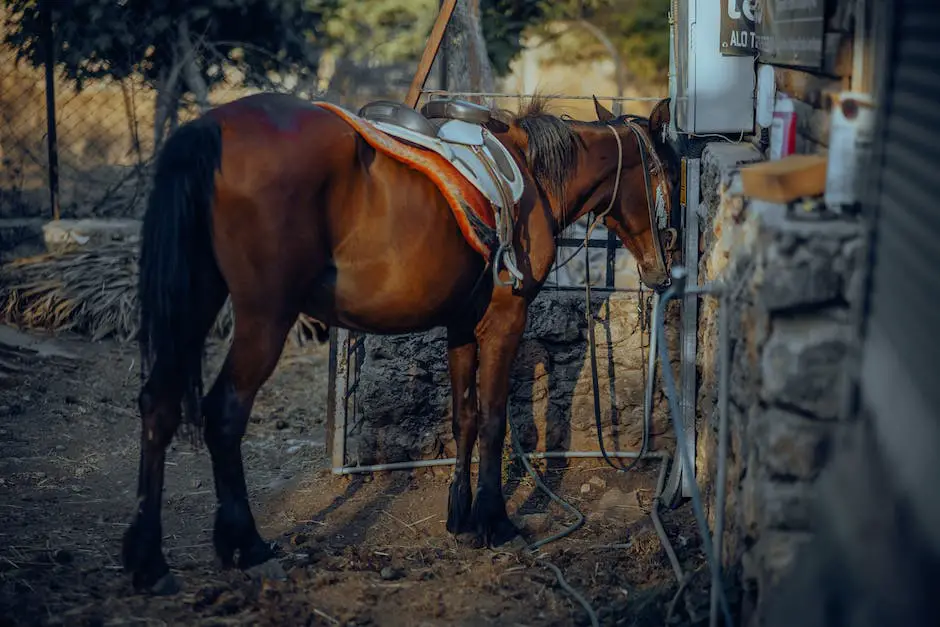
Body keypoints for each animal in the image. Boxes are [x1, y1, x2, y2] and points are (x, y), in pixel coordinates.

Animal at [121, 91, 680, 592]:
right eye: (669, 176)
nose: (661, 271)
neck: (531, 179)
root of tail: (209, 128)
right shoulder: (506, 319)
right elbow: (494, 420)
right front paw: (495, 522)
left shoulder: (461, 325)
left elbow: (464, 417)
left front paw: (461, 517)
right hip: (264, 316)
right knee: (224, 413)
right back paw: (250, 547)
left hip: (195, 299)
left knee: (158, 405)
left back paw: (149, 562)